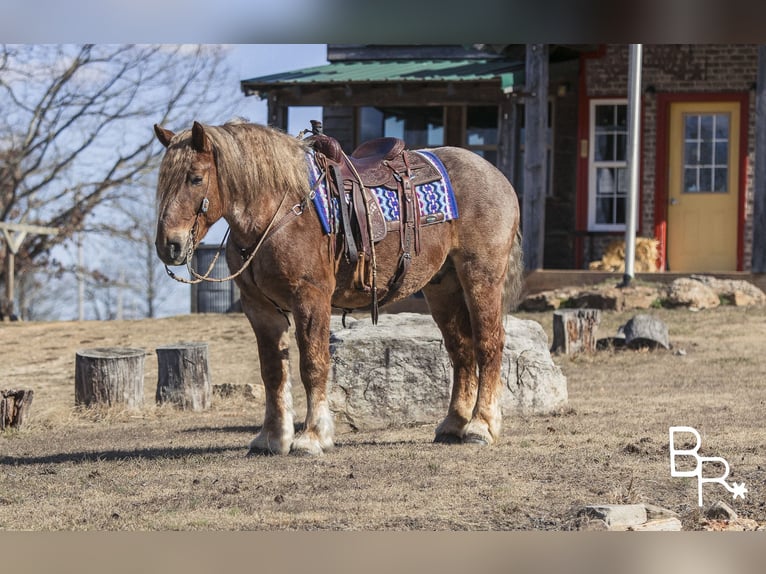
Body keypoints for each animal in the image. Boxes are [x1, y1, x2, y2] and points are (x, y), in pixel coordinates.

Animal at [154, 121, 528, 460]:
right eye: (163, 181)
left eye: (195, 178)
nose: (169, 245)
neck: (279, 210)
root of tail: (497, 176)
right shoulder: (260, 308)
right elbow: (273, 372)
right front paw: (272, 438)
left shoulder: (310, 298)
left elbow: (313, 365)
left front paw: (312, 437)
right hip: (442, 287)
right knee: (461, 351)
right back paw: (453, 424)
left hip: (481, 277)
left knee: (488, 344)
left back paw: (481, 426)